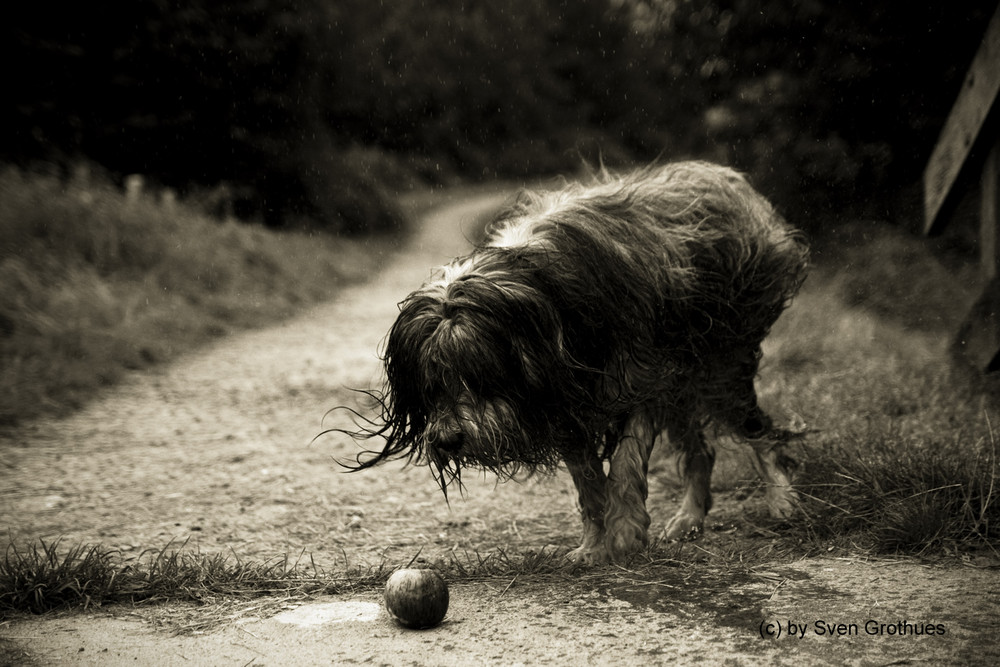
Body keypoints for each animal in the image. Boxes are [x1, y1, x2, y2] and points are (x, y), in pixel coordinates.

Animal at [340, 162, 808, 564]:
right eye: (431, 384)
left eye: (479, 372)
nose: (449, 439)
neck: (545, 303)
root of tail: (729, 179)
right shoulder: (560, 403)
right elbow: (588, 482)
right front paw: (595, 544)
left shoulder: (638, 377)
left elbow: (625, 464)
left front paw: (625, 531)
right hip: (682, 377)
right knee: (702, 450)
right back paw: (690, 518)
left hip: (720, 360)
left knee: (758, 431)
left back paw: (782, 501)